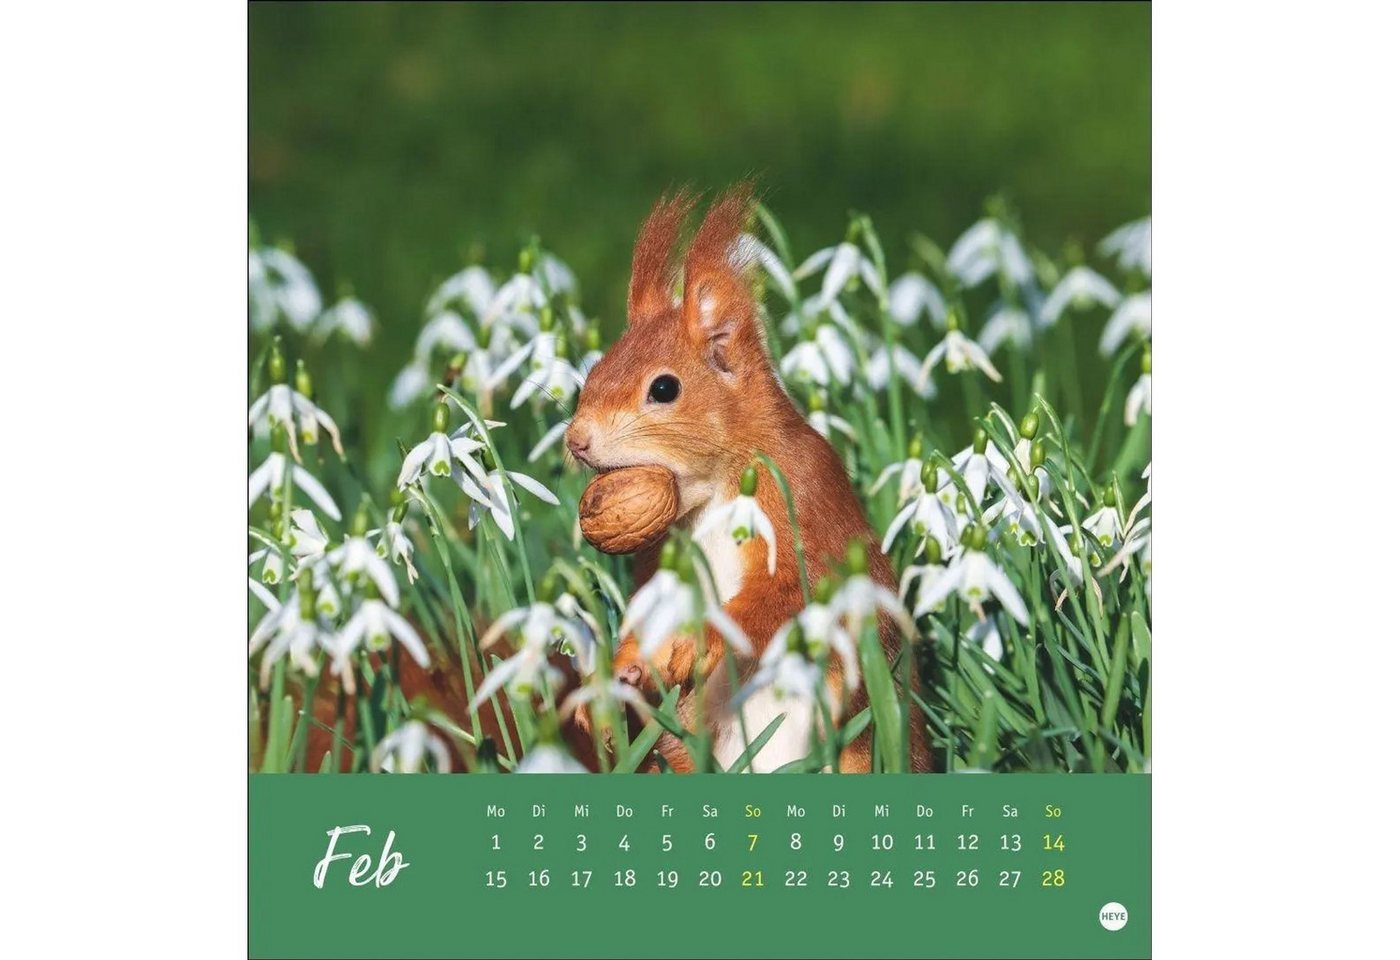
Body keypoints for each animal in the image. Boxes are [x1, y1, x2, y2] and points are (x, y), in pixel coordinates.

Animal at [565, 185, 932, 773]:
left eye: (664, 389)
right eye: (594, 372)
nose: (576, 440)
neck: (713, 494)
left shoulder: (803, 499)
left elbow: (788, 593)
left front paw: (701, 639)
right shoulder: (664, 557)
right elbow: (648, 612)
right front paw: (614, 676)